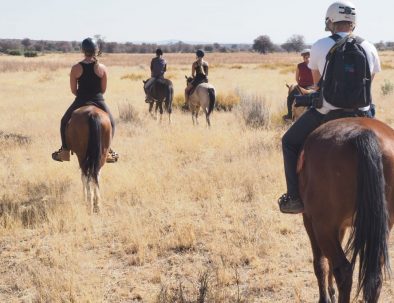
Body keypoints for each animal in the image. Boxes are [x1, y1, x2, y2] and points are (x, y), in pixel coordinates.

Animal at [298, 117, 394, 303]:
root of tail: (362, 134)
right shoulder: (341, 226)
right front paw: (331, 291)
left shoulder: (309, 220)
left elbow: (320, 263)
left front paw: (326, 297)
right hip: (383, 226)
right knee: (375, 278)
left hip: (323, 227)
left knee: (343, 271)